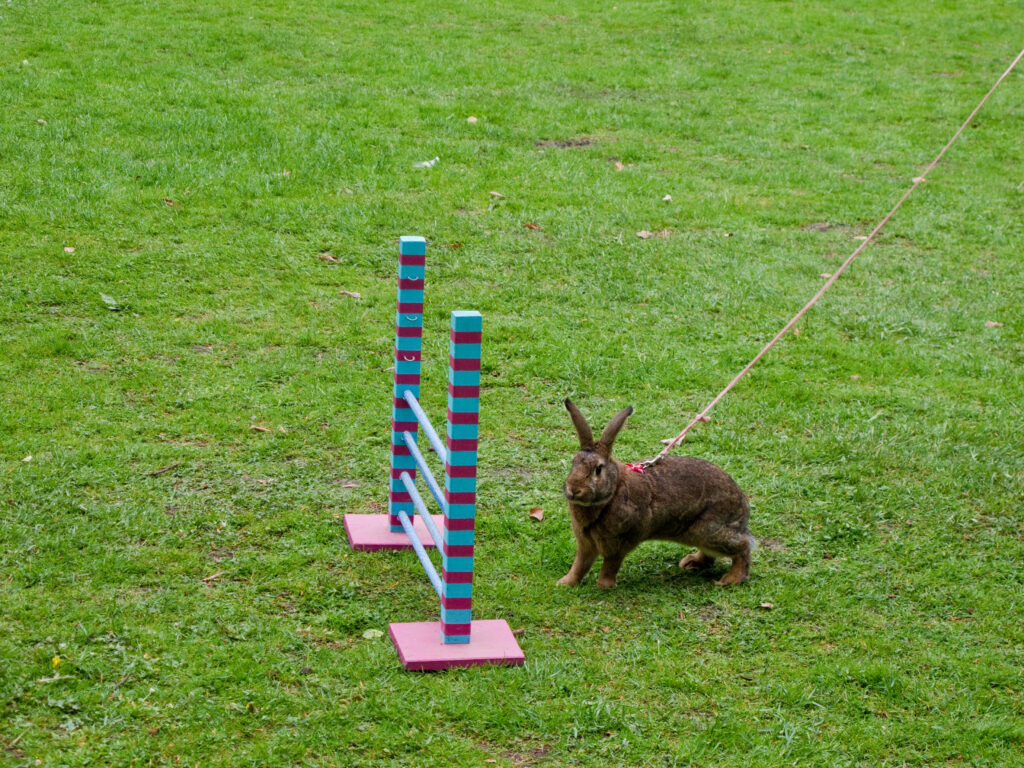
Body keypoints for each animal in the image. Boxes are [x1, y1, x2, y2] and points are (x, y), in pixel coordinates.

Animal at [558, 399, 754, 589]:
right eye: (573, 462)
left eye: (598, 469)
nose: (574, 490)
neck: (612, 493)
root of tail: (743, 510)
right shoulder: (586, 544)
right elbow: (580, 565)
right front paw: (565, 583)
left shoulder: (621, 542)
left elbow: (610, 565)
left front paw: (604, 586)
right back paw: (691, 563)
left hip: (708, 530)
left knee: (744, 546)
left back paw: (731, 579)